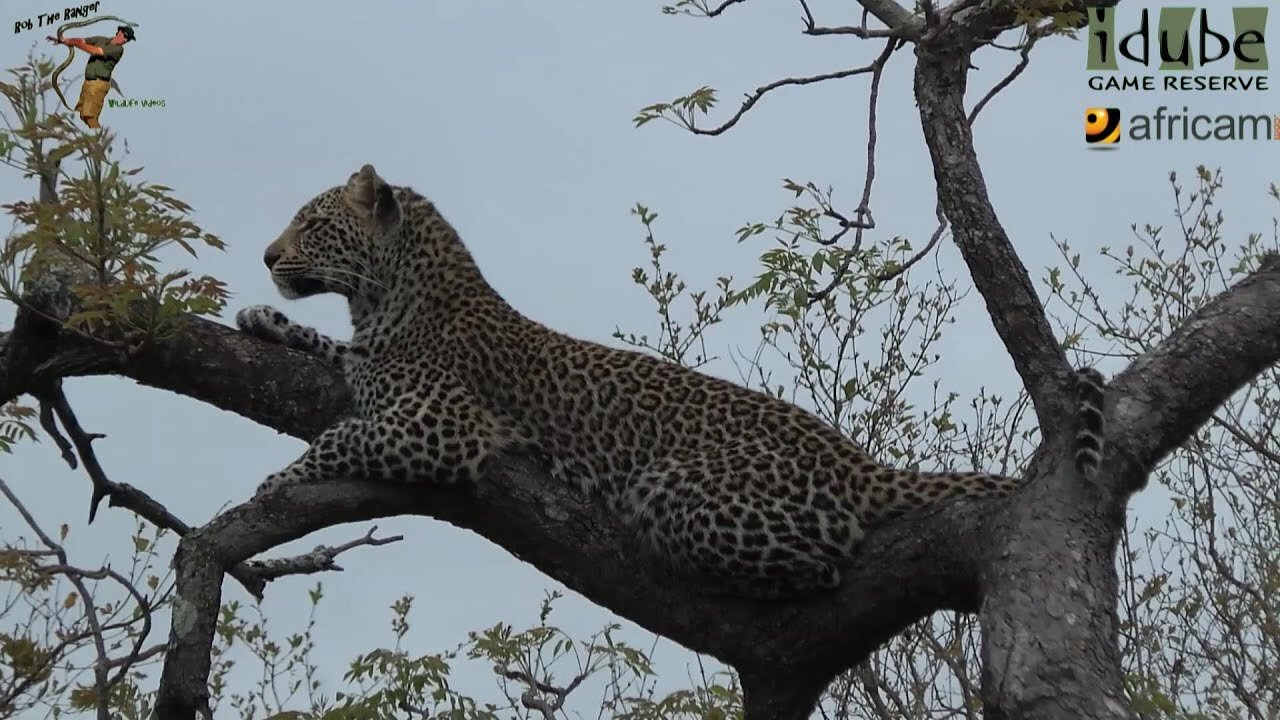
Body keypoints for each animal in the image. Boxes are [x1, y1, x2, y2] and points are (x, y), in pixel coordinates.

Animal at [235, 163, 1105, 599]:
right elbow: (333, 361)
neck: (382, 299)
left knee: (825, 562)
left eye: (313, 224)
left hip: (679, 492)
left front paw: (273, 484)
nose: (269, 258)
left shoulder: (444, 425)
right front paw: (263, 319)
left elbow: (344, 436)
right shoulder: (372, 369)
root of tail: (860, 463)